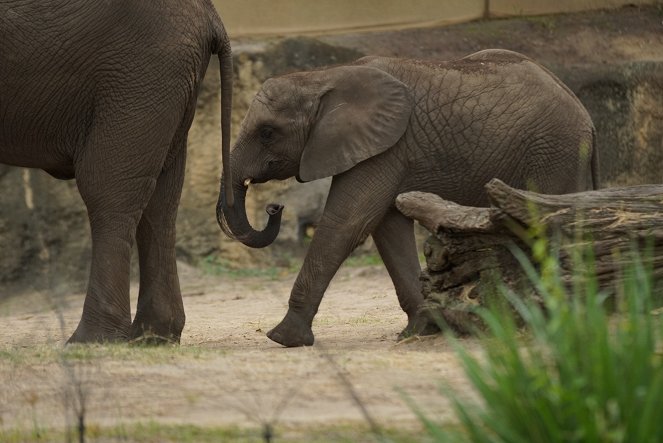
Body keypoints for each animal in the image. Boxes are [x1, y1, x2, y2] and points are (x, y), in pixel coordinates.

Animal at [0, 0, 235, 346]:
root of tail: (210, 14)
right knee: (162, 201)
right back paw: (153, 337)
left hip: (139, 73)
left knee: (107, 192)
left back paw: (92, 339)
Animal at [218, 48, 600, 346]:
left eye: (267, 133)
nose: (275, 207)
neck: (322, 77)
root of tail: (588, 118)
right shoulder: (384, 151)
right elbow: (388, 230)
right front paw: (424, 328)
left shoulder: (387, 148)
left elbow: (347, 223)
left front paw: (282, 338)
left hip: (554, 153)